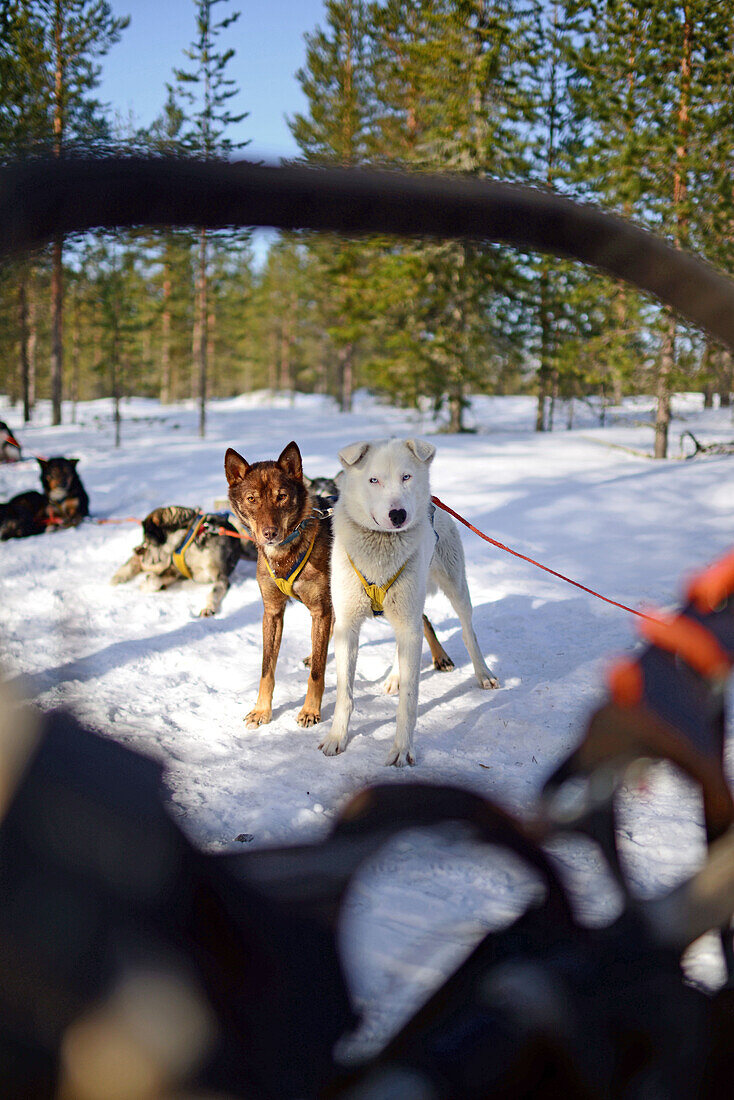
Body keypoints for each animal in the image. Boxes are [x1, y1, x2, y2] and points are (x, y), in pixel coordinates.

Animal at [111, 506, 244, 620]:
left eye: (148, 542)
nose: (138, 550)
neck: (191, 537)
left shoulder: (221, 577)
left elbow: (213, 593)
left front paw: (208, 608)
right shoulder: (174, 569)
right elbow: (156, 579)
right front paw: (146, 584)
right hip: (160, 562)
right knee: (136, 564)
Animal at [225, 437, 334, 730]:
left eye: (281, 496)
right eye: (251, 498)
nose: (269, 533)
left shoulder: (320, 609)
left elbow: (317, 673)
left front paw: (310, 710)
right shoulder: (272, 611)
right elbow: (267, 668)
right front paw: (262, 710)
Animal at [319, 435, 499, 765]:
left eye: (406, 477)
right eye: (373, 480)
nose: (398, 514)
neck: (380, 549)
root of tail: (435, 502)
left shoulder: (409, 626)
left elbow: (409, 702)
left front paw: (402, 749)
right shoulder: (347, 627)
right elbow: (344, 695)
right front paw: (337, 737)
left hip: (454, 589)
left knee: (468, 632)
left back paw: (483, 673)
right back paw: (394, 677)